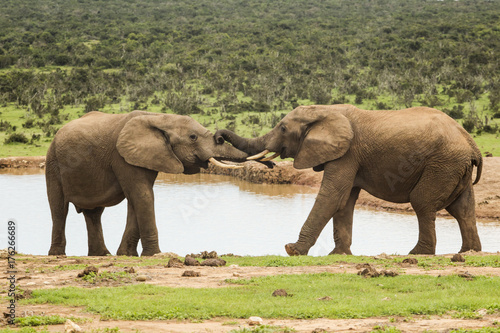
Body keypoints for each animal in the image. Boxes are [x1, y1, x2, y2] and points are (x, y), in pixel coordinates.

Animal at [47, 110, 248, 255]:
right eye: (193, 137)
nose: (220, 136)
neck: (158, 118)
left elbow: (138, 199)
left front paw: (127, 255)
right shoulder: (122, 157)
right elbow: (142, 196)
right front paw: (154, 254)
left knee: (94, 213)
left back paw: (101, 255)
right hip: (53, 161)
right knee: (59, 209)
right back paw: (57, 255)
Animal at [216, 104, 484, 254]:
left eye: (282, 129)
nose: (218, 137)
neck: (327, 110)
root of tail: (472, 144)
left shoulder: (347, 153)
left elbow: (332, 197)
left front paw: (292, 250)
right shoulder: (349, 156)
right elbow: (344, 202)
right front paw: (339, 254)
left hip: (442, 164)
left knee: (423, 202)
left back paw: (417, 253)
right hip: (453, 167)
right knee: (463, 209)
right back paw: (469, 252)